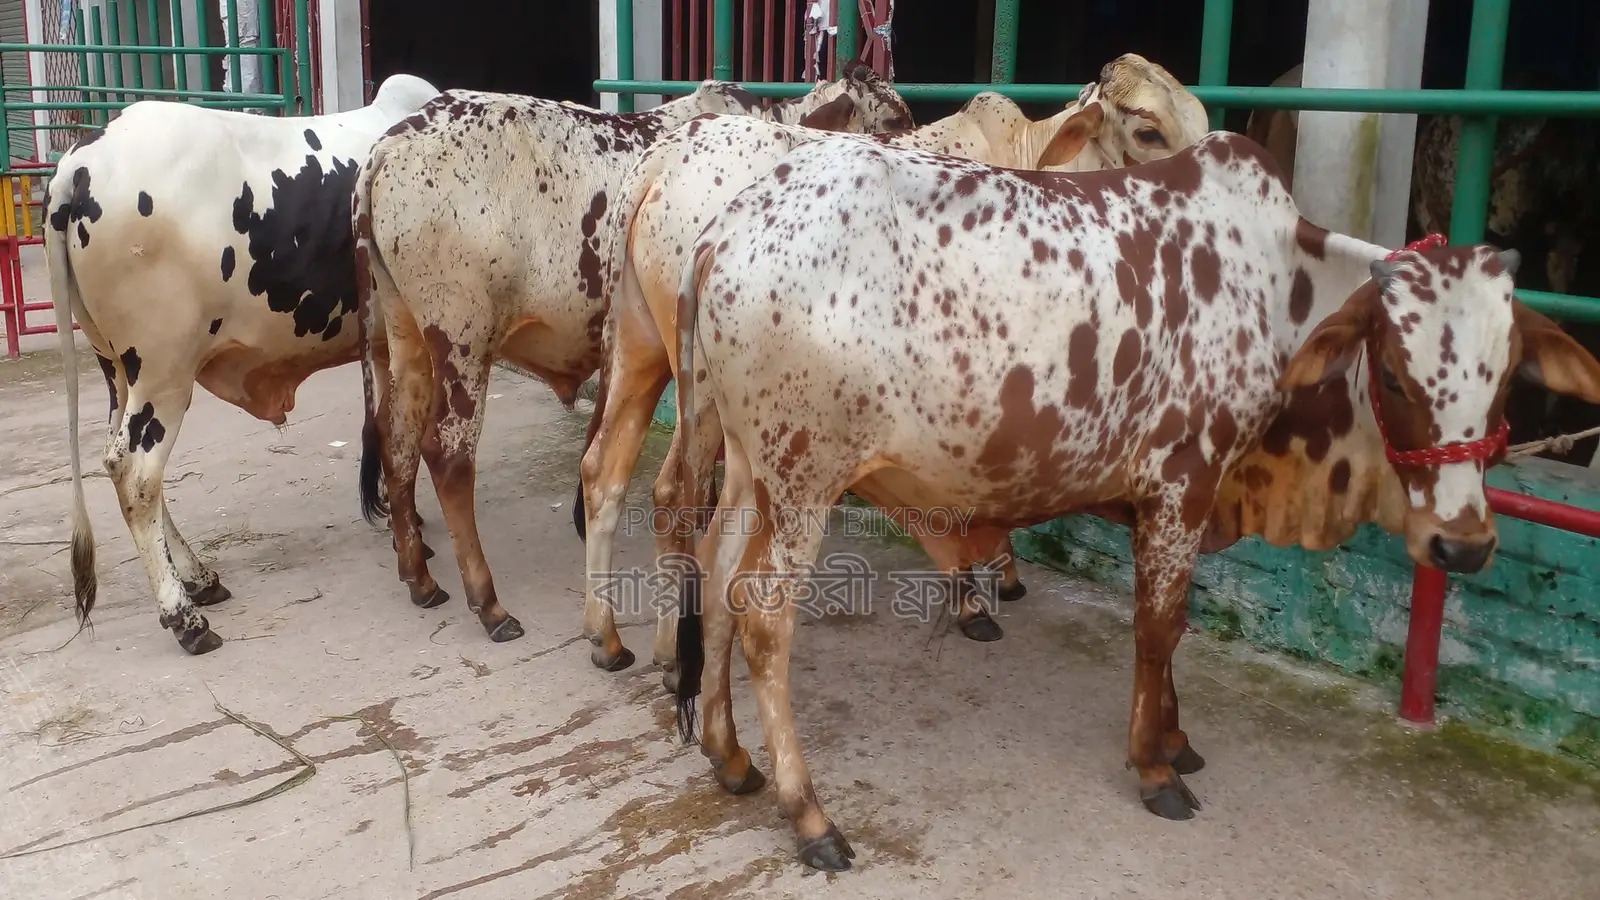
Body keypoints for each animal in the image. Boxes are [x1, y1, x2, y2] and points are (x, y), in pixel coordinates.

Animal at [47, 74, 442, 656]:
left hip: (119, 370)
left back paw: (198, 579)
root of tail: (82, 162)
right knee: (136, 472)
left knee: (122, 462)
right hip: (164, 374)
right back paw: (184, 616)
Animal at [351, 69, 915, 647]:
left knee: (396, 436)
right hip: (463, 339)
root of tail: (392, 144)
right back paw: (488, 603)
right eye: (896, 119)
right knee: (447, 455)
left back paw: (418, 571)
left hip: (406, 334)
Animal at [577, 52, 1209, 687]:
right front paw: (975, 598)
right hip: (706, 388)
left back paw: (611, 639)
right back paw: (672, 655)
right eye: (1148, 132)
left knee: (605, 471)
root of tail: (668, 154)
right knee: (673, 494)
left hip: (641, 345)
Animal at [662, 131, 1600, 870]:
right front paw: (1154, 767)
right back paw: (809, 814)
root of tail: (729, 227)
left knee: (716, 577)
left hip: (747, 467)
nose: (1461, 544)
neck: (1277, 286)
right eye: (1400, 376)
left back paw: (728, 755)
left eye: (1508, 377)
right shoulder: (1184, 481)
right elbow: (1158, 625)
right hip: (804, 476)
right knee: (763, 616)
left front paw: (1176, 742)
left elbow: (1171, 630)